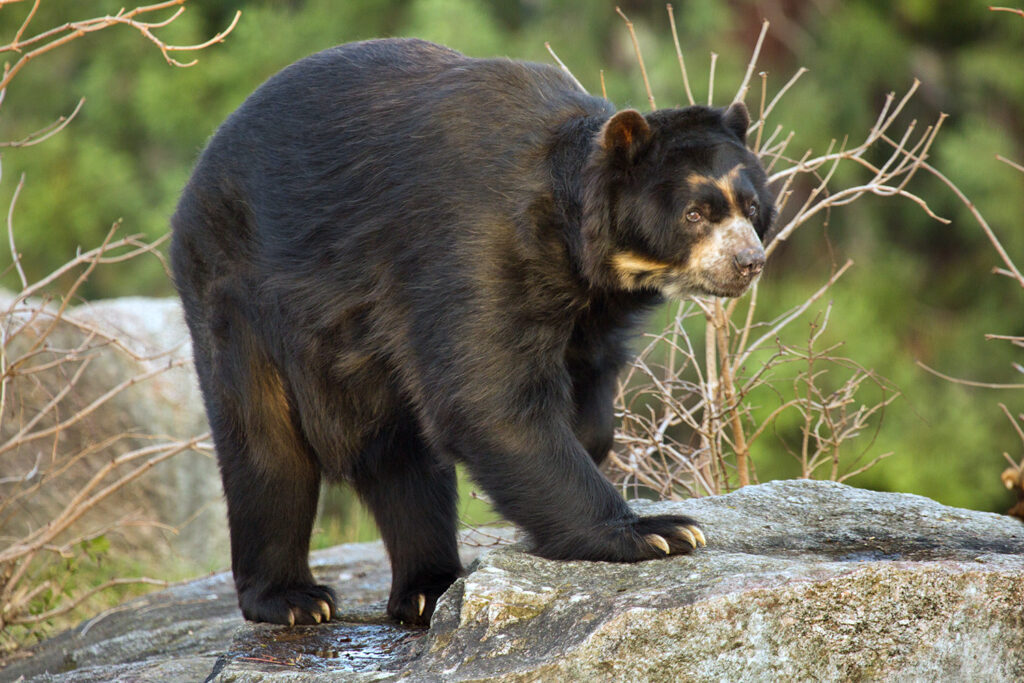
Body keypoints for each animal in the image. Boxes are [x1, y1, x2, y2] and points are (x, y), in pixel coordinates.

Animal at [169, 38, 774, 628]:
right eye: (697, 213)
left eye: (751, 208)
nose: (750, 262)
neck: (573, 238)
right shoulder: (474, 243)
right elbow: (486, 398)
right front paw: (659, 531)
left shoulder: (590, 306)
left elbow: (585, 384)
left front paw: (588, 439)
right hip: (237, 289)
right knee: (266, 445)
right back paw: (295, 599)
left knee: (403, 459)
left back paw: (426, 589)